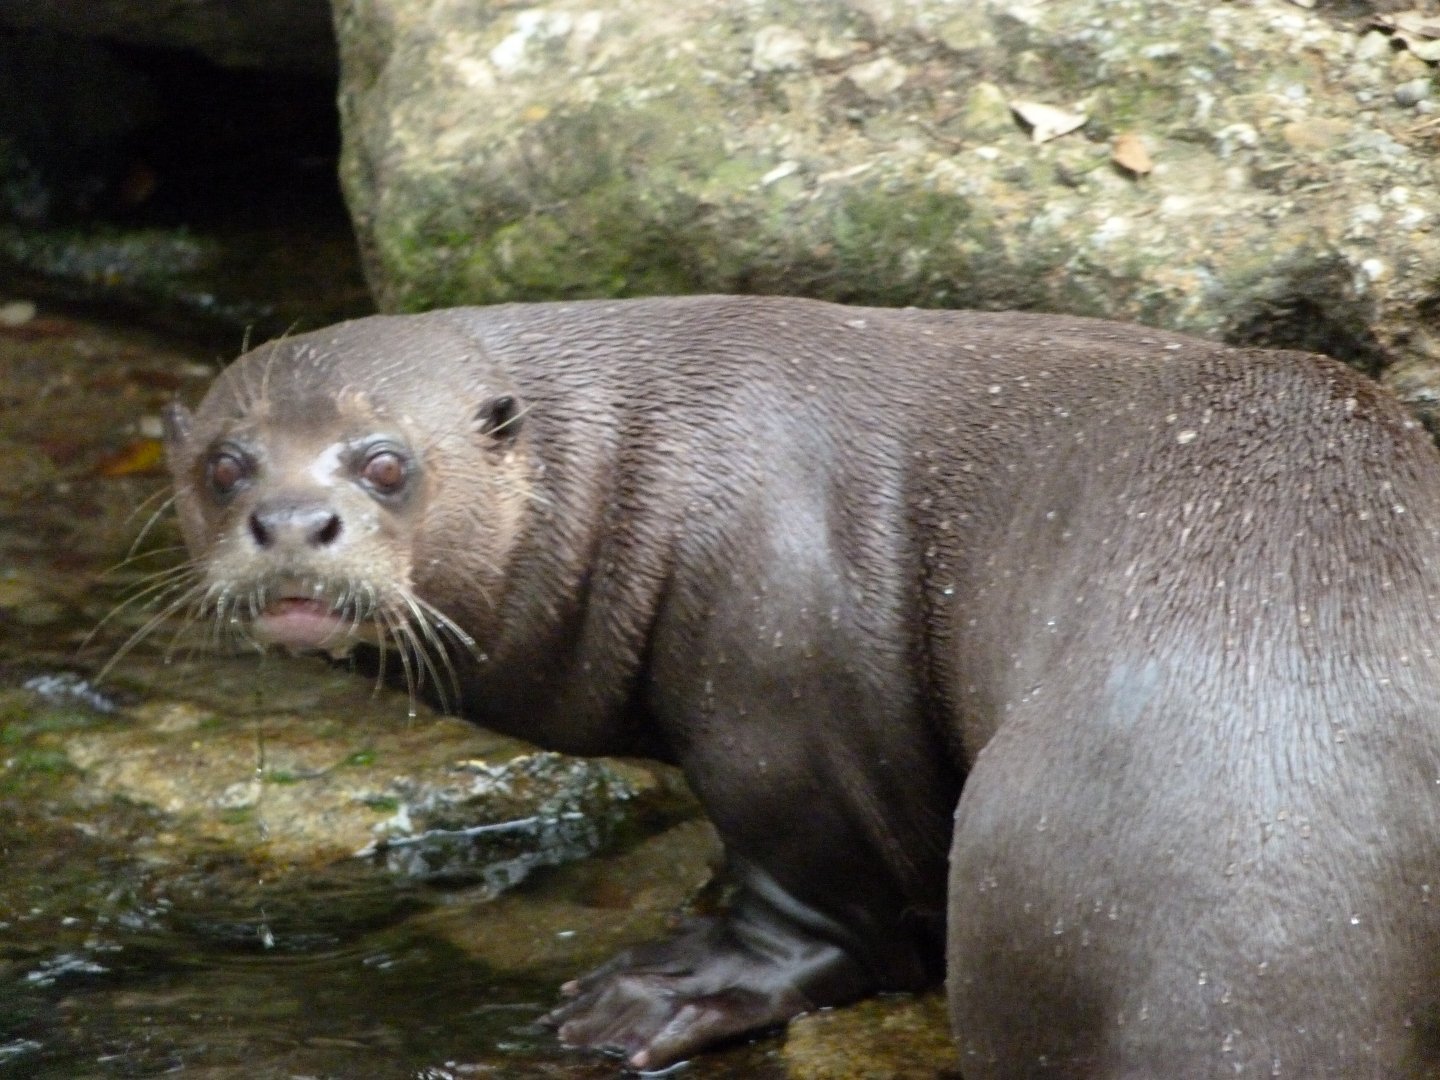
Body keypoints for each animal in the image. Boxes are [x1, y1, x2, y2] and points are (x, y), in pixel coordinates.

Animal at [161, 296, 1440, 1076]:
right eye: (223, 465)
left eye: (387, 464)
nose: (293, 522)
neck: (648, 469)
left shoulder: (782, 700)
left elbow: (825, 908)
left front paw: (652, 996)